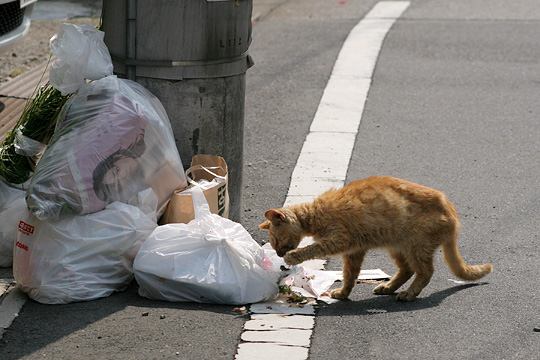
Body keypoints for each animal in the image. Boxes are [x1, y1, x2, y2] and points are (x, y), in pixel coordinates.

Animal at [260, 176, 492, 300]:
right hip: (397, 247)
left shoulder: (340, 240)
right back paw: (388, 287)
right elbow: (350, 275)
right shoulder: (353, 251)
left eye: (276, 242)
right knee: (407, 270)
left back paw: (409, 294)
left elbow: (313, 248)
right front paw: (343, 293)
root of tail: (451, 211)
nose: (278, 254)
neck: (315, 213)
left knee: (426, 272)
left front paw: (293, 256)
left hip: (416, 246)